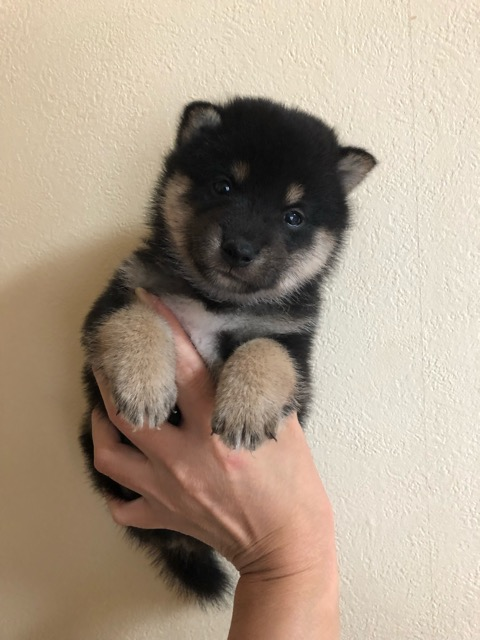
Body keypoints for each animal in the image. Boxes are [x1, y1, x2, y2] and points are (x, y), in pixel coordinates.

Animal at [79, 97, 376, 603]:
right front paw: (143, 386)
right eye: (223, 185)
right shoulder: (119, 298)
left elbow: (264, 353)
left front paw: (245, 411)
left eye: (293, 216)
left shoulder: (291, 344)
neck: (215, 302)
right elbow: (137, 321)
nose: (240, 248)